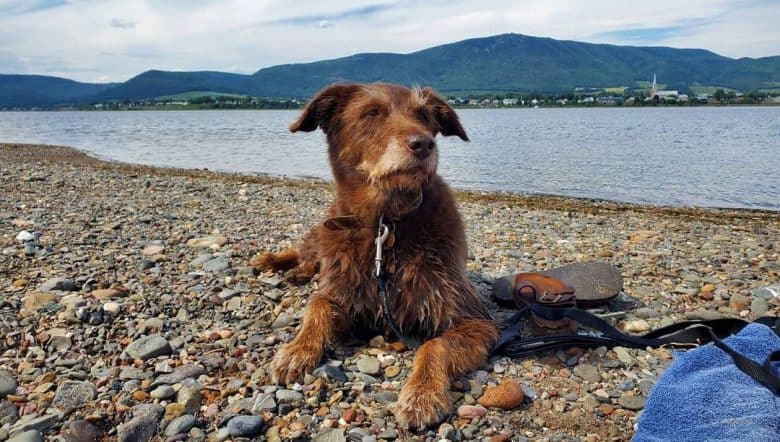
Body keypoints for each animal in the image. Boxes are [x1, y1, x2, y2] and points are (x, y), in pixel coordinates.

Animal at [256, 82, 500, 428]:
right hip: (324, 233)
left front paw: (422, 393)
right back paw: (278, 264)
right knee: (305, 252)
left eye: (424, 116)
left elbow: (435, 344)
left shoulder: (474, 319)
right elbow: (318, 305)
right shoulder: (348, 293)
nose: (423, 144)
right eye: (371, 112)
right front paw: (298, 349)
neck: (385, 223)